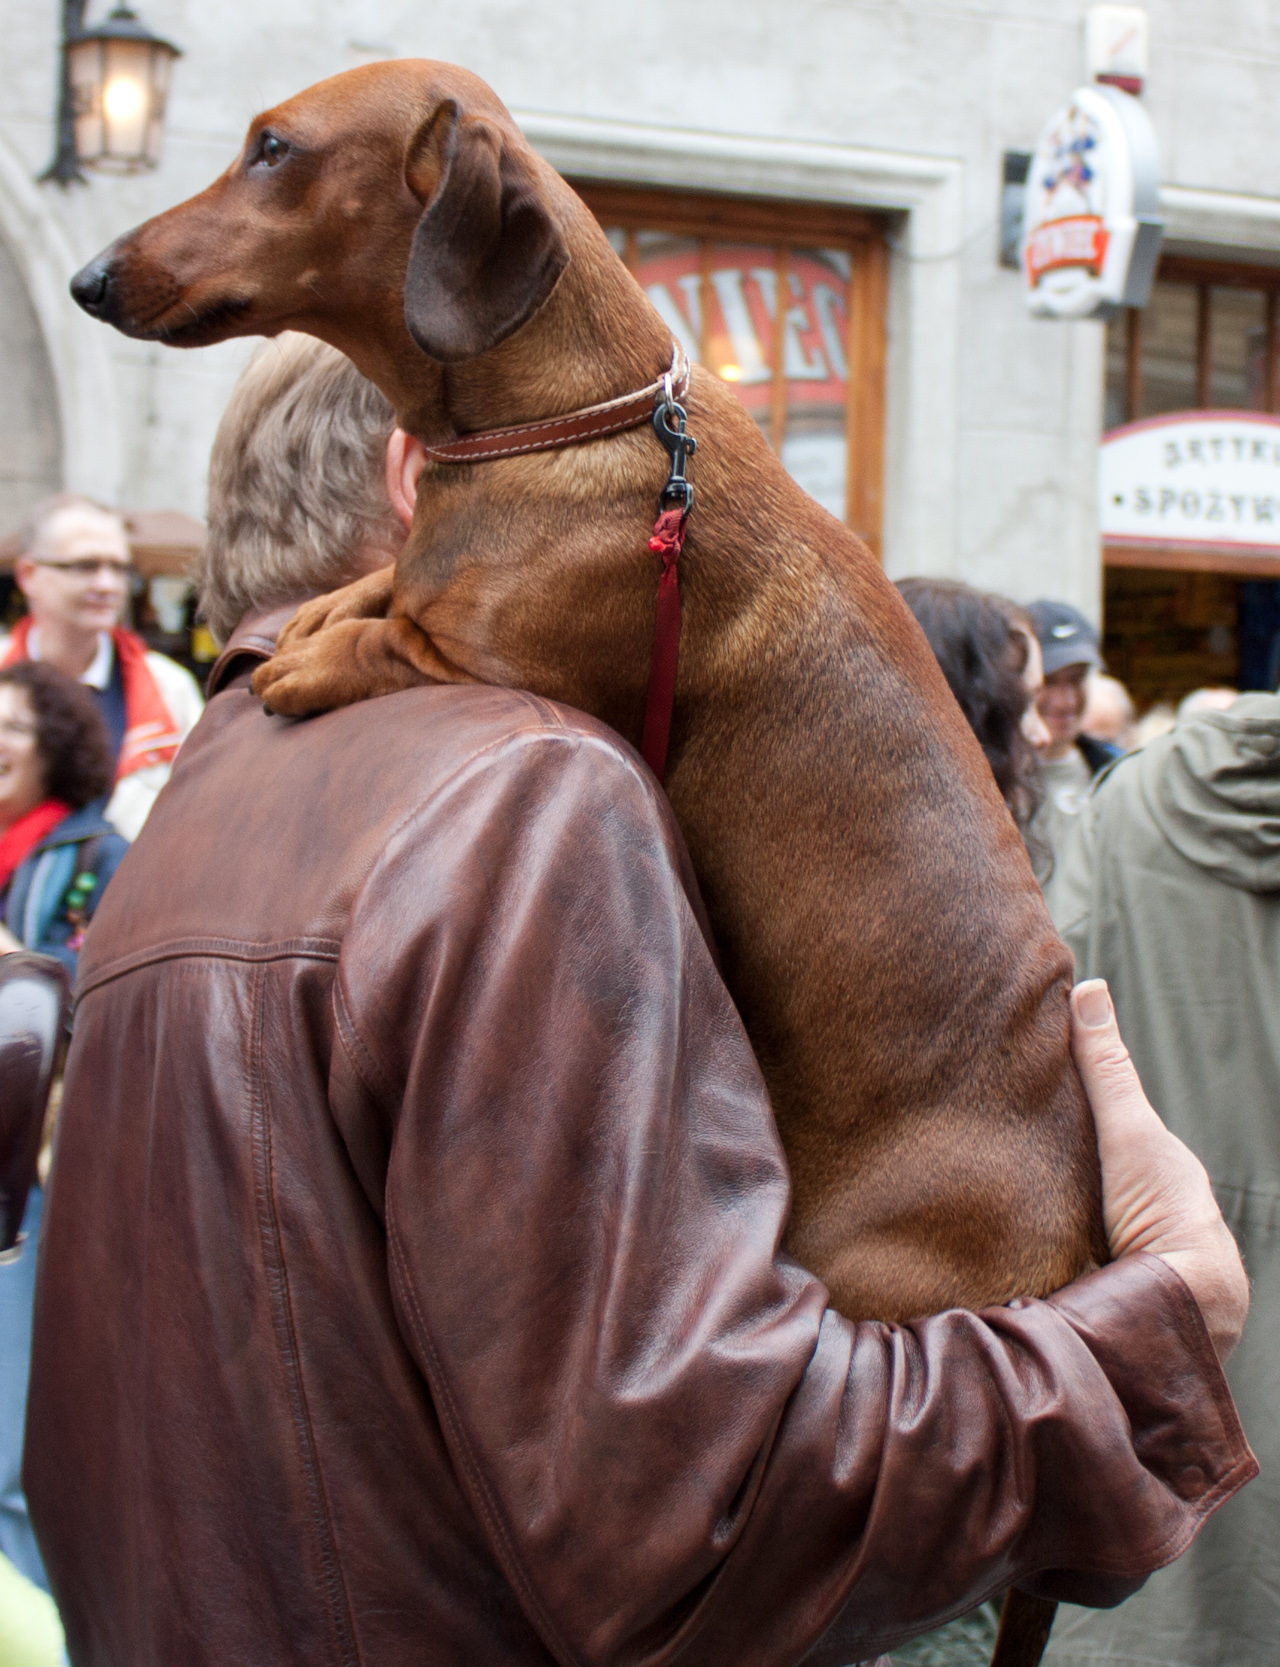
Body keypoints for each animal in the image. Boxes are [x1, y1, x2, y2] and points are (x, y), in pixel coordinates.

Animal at [72, 58, 1106, 1320]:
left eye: (273, 149)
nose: (84, 279)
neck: (564, 423)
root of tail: (1067, 1238)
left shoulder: (487, 656)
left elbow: (389, 637)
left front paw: (309, 654)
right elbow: (380, 585)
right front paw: (319, 610)